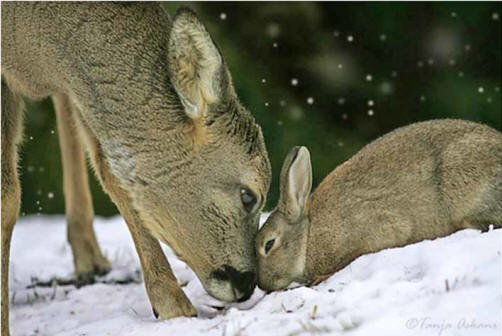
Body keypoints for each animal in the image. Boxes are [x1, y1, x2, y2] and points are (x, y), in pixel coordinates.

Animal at [1, 2, 272, 334]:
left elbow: (113, 172)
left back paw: (89, 257)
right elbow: (7, 199)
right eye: (249, 195)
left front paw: (172, 305)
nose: (247, 283)